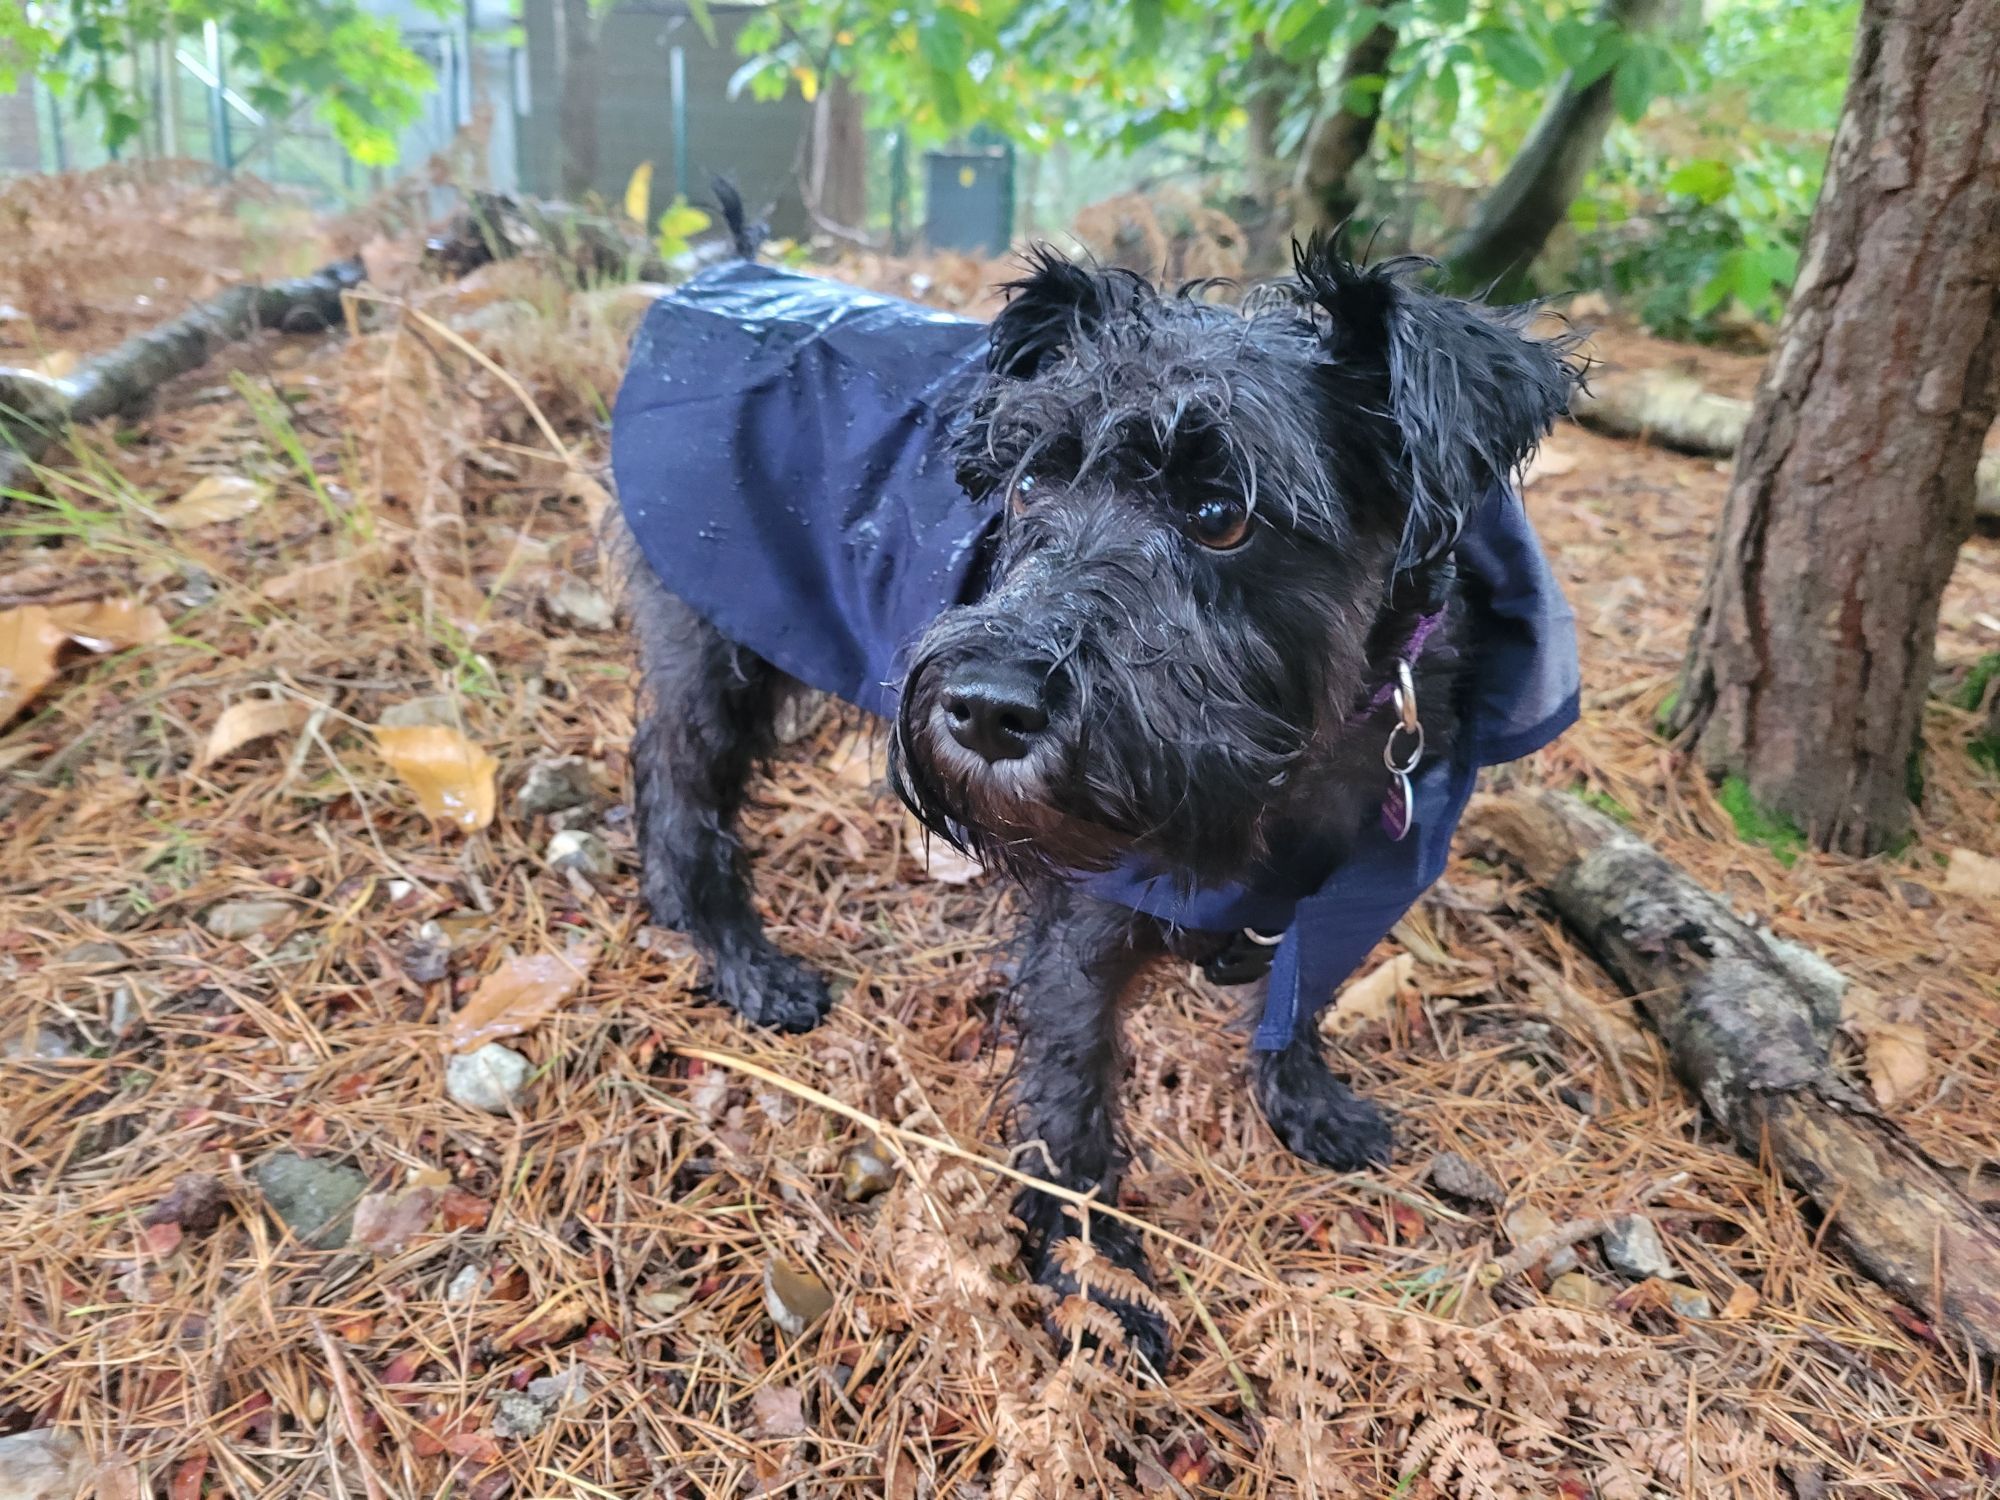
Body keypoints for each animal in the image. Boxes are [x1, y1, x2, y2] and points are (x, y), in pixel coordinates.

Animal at [608, 203, 1576, 1376]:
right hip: (719, 644)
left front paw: (1306, 1102)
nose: (982, 709)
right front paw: (1096, 1280)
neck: (1301, 750)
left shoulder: (1365, 879)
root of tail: (733, 271)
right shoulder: (1084, 931)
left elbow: (1302, 997)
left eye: (1221, 512)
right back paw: (744, 962)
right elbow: (1073, 1111)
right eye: (1028, 483)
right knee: (675, 780)